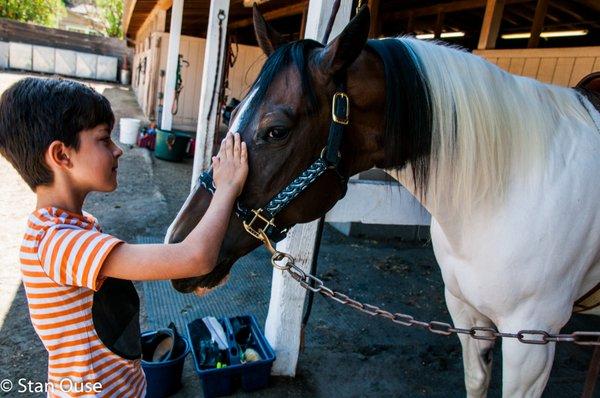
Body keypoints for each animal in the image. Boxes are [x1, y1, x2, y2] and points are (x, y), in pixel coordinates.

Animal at [164, 6, 600, 398]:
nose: (177, 242)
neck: (504, 190)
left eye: (276, 131)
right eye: (233, 110)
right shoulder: (466, 315)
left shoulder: (532, 341)